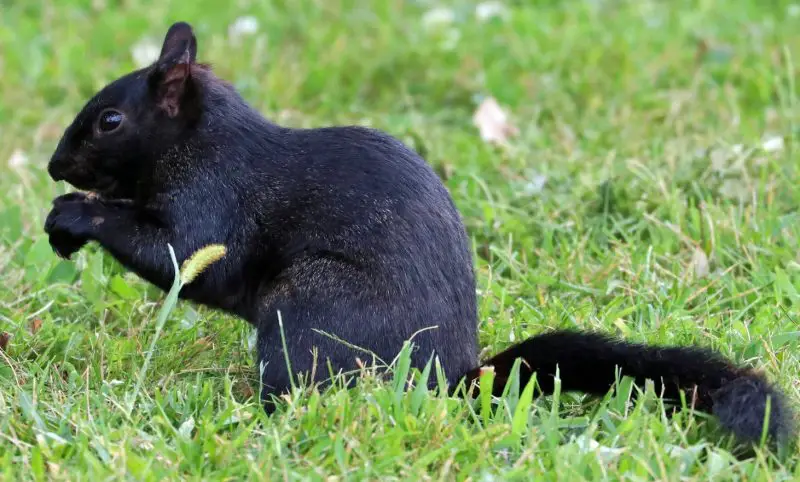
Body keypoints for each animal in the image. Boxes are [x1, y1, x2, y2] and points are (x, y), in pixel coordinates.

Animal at [44, 21, 794, 449]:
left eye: (110, 121)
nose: (54, 164)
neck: (202, 141)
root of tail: (454, 381)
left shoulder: (218, 199)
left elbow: (184, 258)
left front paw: (74, 215)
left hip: (311, 306)